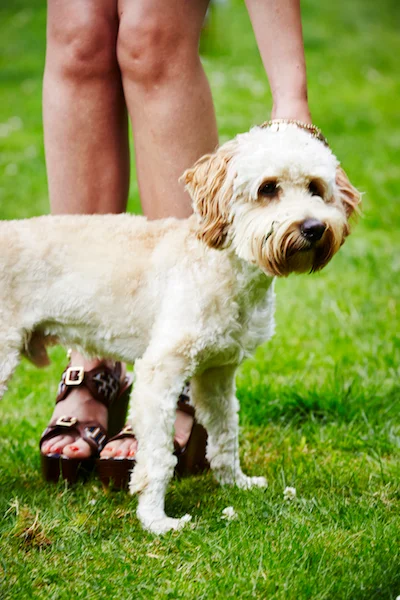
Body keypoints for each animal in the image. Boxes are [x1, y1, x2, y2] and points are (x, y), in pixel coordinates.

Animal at [0, 122, 360, 536]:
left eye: (316, 188)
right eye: (268, 188)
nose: (314, 227)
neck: (222, 267)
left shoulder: (217, 373)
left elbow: (225, 432)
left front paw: (235, 483)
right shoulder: (159, 373)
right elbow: (157, 458)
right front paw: (156, 519)